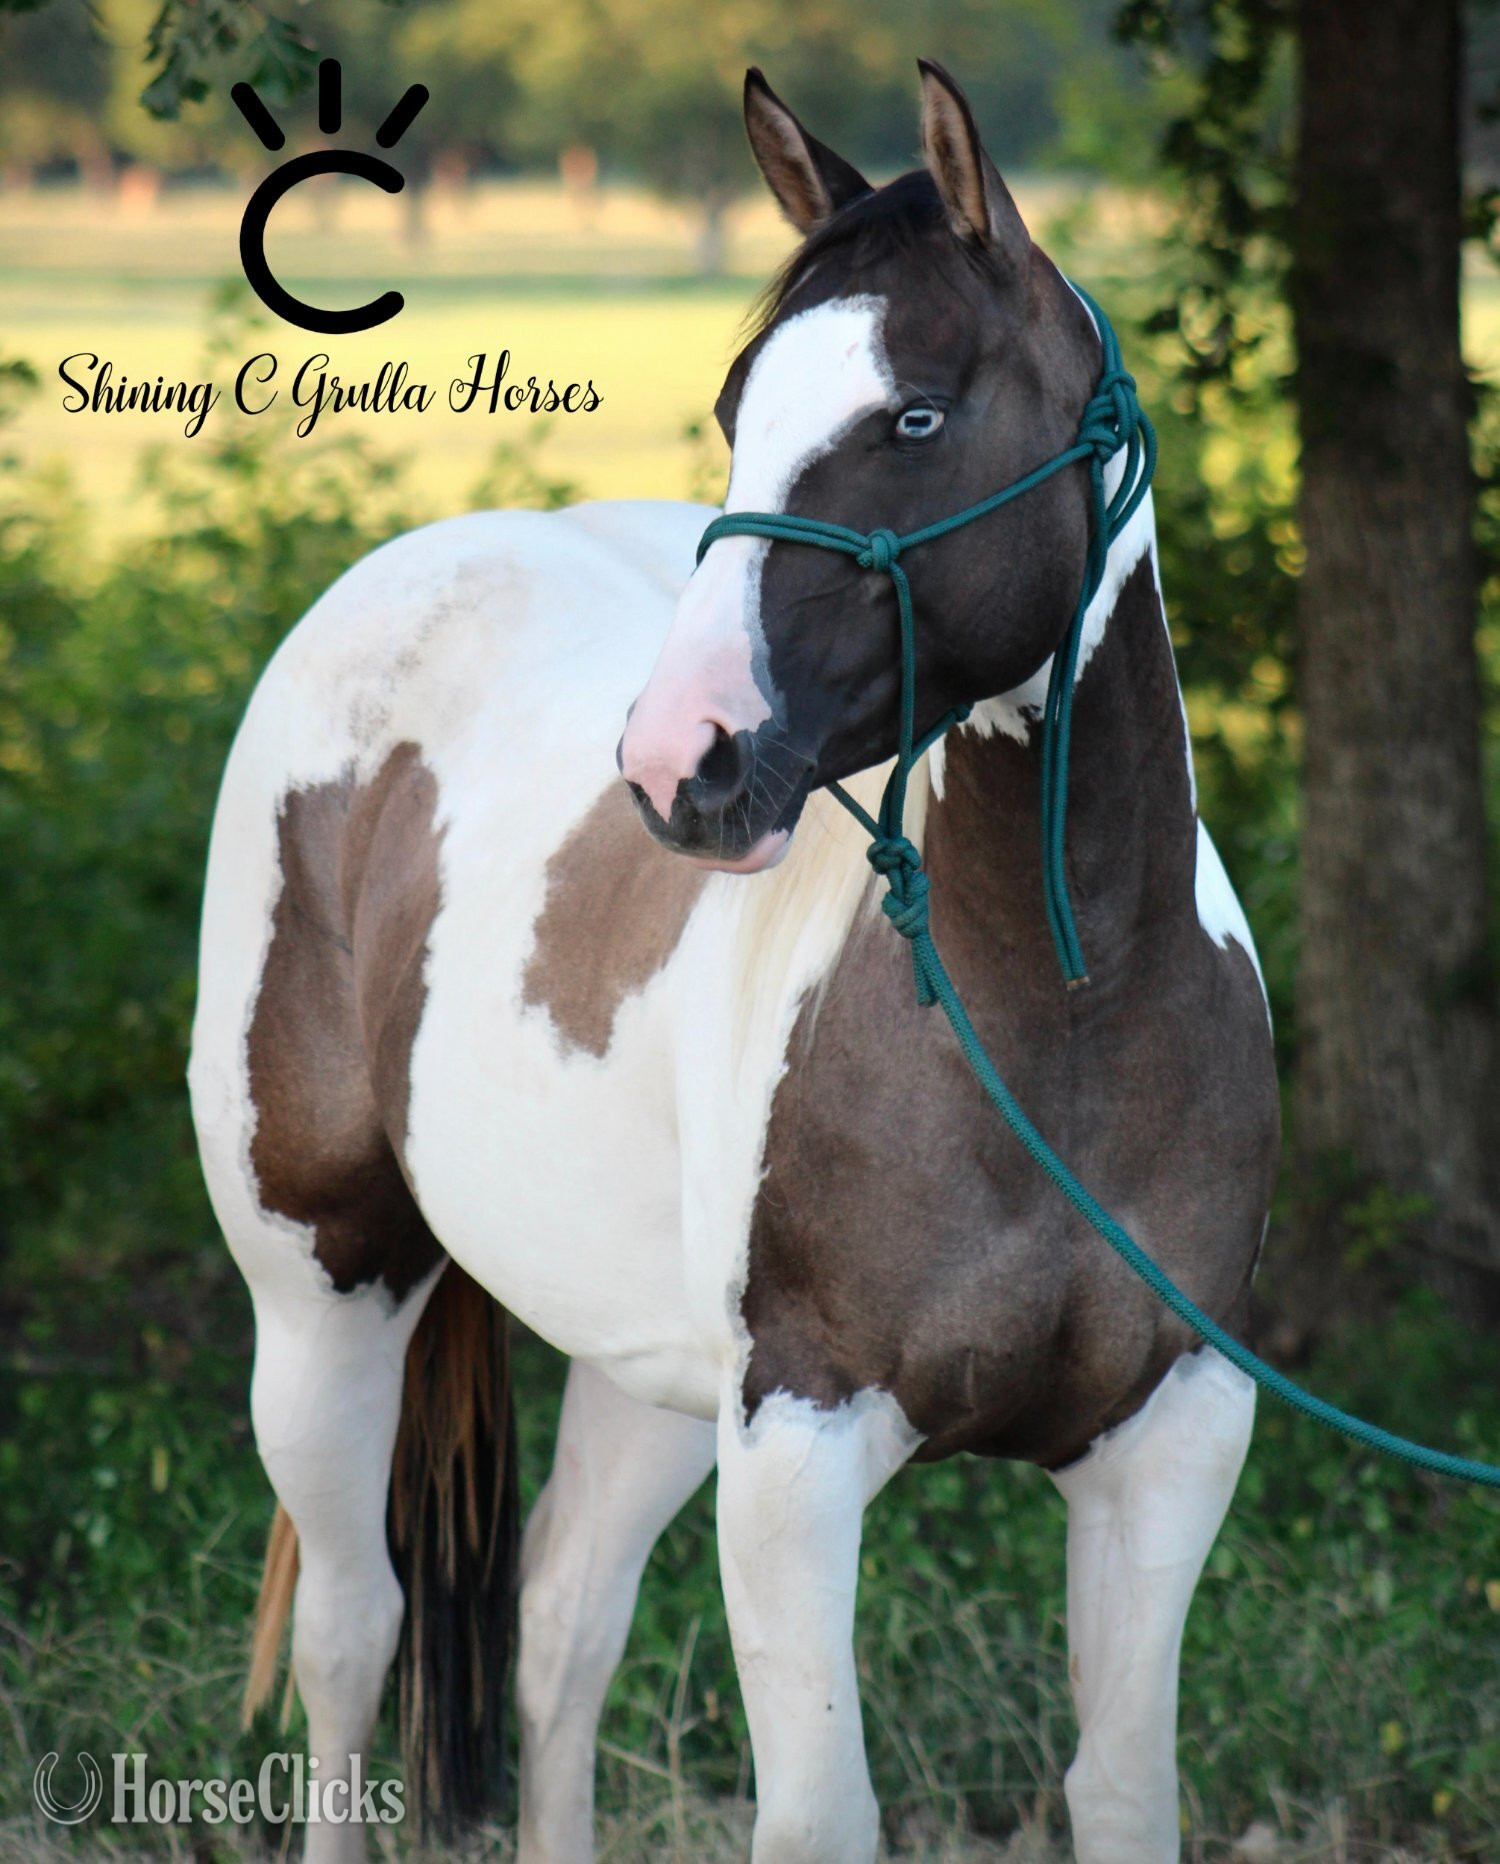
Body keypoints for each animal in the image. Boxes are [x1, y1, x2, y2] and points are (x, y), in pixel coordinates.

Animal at [189, 59, 1279, 1864]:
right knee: (354, 1632)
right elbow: (819, 1812)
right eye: (732, 408)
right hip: (325, 1293)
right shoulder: (798, 1445)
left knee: (561, 1624)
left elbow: (1124, 1787)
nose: (673, 760)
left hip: (642, 1368)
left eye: (916, 417)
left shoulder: (1170, 1445)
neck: (1067, 1018)